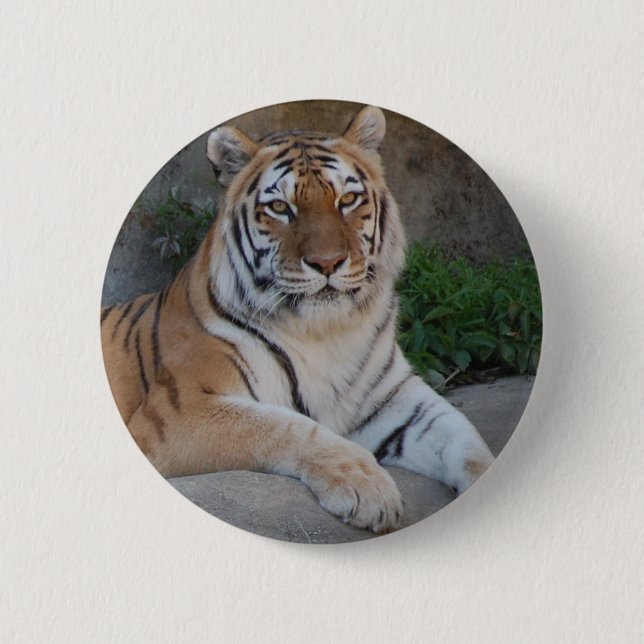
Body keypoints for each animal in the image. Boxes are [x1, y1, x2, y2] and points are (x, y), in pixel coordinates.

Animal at [101, 105, 494, 534]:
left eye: (348, 199)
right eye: (279, 208)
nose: (327, 262)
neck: (326, 332)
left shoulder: (397, 400)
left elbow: (466, 439)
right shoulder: (179, 411)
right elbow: (287, 428)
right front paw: (368, 487)